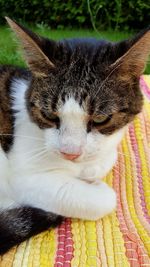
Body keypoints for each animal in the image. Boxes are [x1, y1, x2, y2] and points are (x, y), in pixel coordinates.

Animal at [0, 16, 149, 255]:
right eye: (48, 115)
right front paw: (96, 186)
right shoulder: (21, 178)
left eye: (100, 119)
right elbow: (104, 199)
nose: (70, 153)